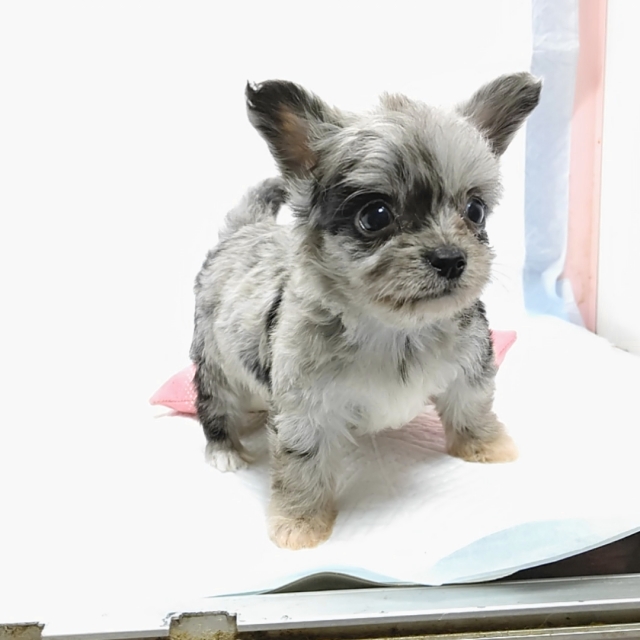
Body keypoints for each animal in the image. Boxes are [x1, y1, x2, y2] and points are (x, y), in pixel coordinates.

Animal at [190, 73, 541, 549]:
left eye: (475, 210)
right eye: (375, 216)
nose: (451, 259)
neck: (394, 329)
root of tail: (245, 230)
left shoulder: (469, 368)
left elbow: (472, 408)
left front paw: (486, 446)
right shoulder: (306, 412)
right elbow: (303, 466)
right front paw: (300, 523)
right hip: (214, 363)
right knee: (214, 405)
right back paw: (225, 449)